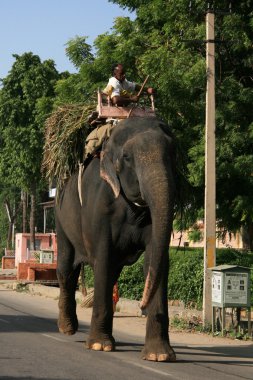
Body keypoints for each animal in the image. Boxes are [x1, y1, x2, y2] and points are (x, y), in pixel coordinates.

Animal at [55, 116, 176, 362]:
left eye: (172, 153)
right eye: (127, 157)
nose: (141, 305)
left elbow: (156, 260)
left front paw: (159, 355)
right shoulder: (100, 208)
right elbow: (103, 257)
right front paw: (99, 346)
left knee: (110, 273)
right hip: (62, 221)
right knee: (67, 270)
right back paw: (68, 329)